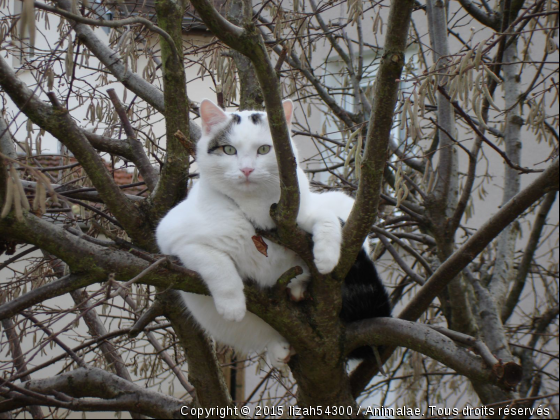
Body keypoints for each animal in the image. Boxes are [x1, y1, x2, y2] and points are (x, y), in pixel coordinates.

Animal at [155, 99, 392, 368]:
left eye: (264, 149)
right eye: (229, 150)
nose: (247, 169)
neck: (255, 211)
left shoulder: (315, 209)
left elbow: (327, 219)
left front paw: (326, 258)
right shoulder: (171, 236)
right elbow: (216, 262)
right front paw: (232, 305)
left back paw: (298, 288)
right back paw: (278, 347)